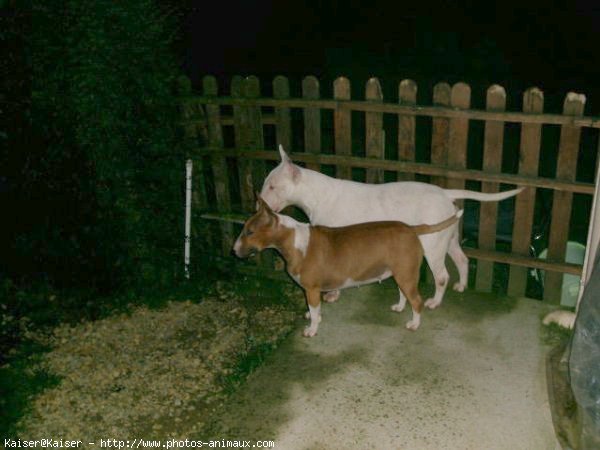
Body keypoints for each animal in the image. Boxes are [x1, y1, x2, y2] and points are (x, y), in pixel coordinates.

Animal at [234, 195, 464, 336]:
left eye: (250, 232)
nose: (234, 251)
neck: (293, 240)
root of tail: (412, 229)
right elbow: (315, 309)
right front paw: (313, 317)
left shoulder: (311, 289)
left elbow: (315, 311)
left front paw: (312, 329)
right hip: (400, 273)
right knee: (403, 293)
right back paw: (399, 307)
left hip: (406, 274)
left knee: (417, 300)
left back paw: (414, 324)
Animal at [260, 147, 524, 310]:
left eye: (272, 186)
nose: (257, 203)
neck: (317, 195)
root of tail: (444, 193)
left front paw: (332, 295)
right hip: (447, 238)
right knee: (462, 259)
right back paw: (462, 285)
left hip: (432, 246)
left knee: (441, 276)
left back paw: (435, 301)